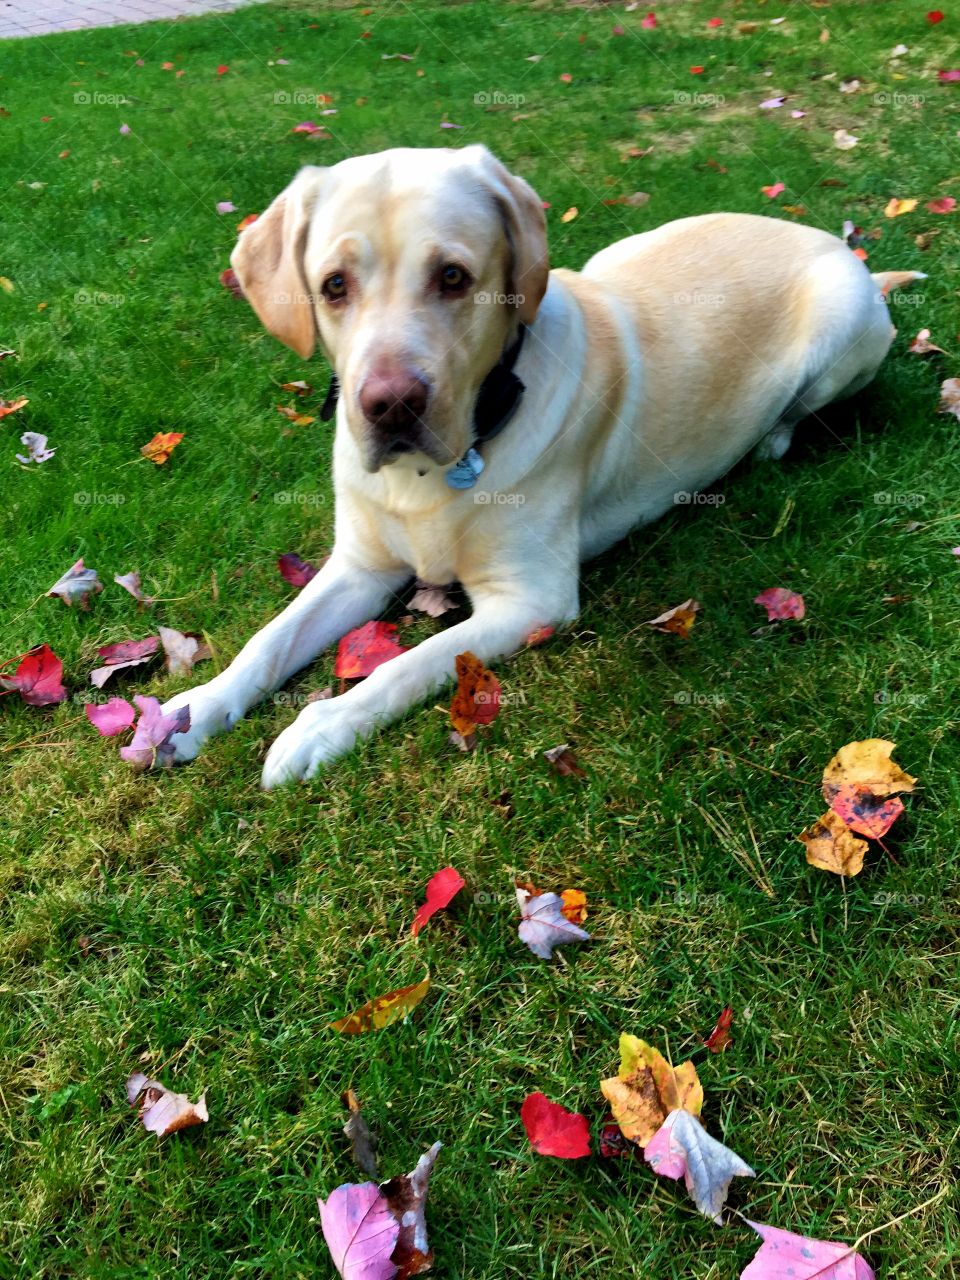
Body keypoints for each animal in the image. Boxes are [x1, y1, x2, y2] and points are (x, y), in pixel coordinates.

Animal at [163, 145, 916, 783]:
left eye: (453, 277)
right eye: (334, 285)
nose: (391, 406)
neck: (431, 476)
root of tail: (836, 244)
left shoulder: (530, 599)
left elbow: (408, 666)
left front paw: (320, 728)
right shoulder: (358, 567)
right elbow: (268, 640)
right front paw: (192, 710)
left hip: (840, 323)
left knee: (792, 418)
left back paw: (766, 442)